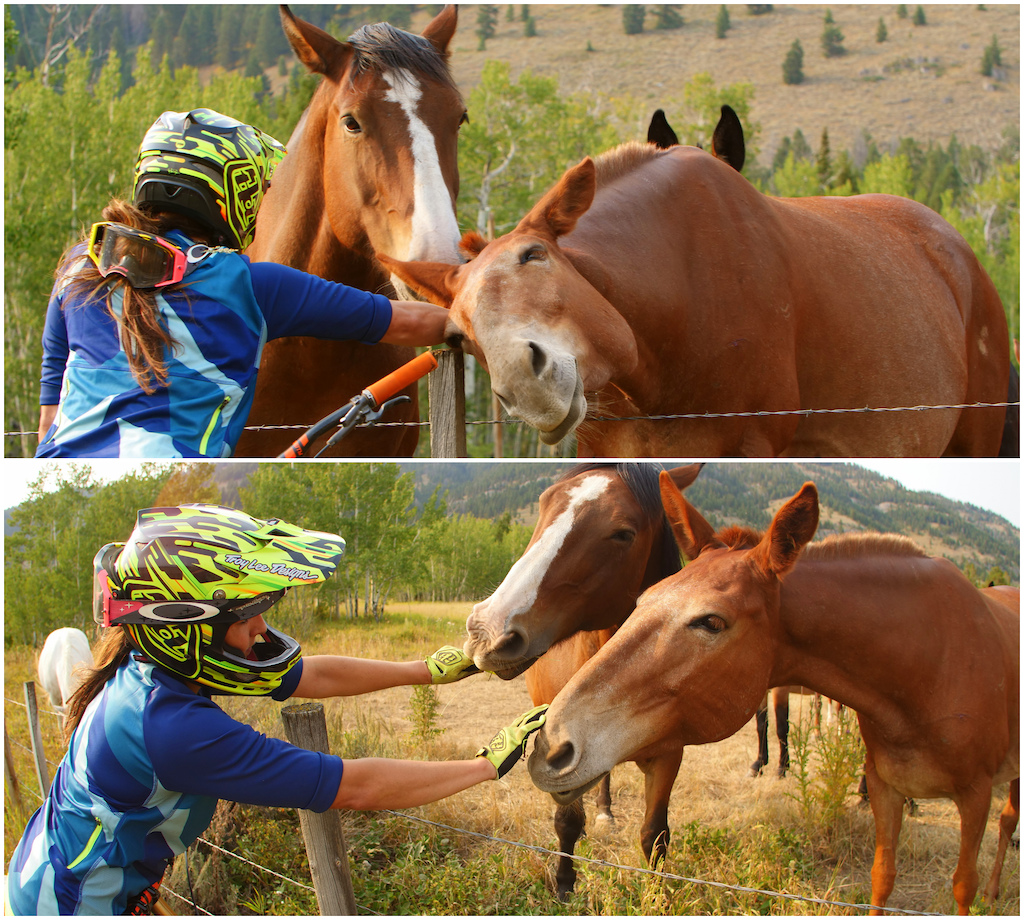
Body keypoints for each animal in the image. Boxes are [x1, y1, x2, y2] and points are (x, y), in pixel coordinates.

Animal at [468, 463, 700, 893]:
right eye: (544, 503)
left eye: (624, 533)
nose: (486, 630)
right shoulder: (555, 749)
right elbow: (568, 821)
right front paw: (564, 883)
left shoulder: (669, 754)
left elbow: (655, 836)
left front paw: (658, 896)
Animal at [528, 473, 1015, 909]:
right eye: (641, 601)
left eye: (711, 621)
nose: (551, 745)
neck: (931, 663)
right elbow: (882, 873)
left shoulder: (976, 796)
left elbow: (962, 885)